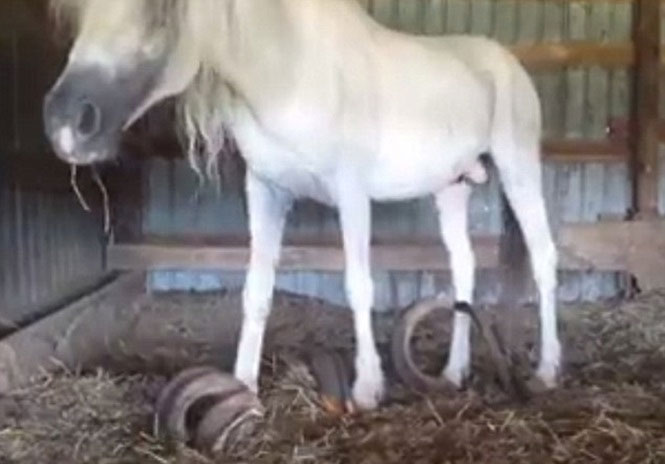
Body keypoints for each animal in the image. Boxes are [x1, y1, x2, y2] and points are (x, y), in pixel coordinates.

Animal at [43, 0, 560, 410]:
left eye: (161, 9)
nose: (67, 123)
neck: (291, 71)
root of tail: (507, 63)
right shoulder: (266, 190)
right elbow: (257, 290)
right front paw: (243, 384)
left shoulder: (351, 194)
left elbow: (358, 286)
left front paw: (367, 389)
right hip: (452, 188)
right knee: (464, 267)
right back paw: (454, 373)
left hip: (519, 169)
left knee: (543, 259)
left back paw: (547, 372)